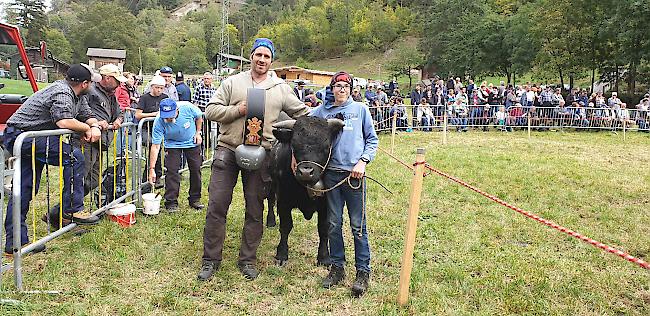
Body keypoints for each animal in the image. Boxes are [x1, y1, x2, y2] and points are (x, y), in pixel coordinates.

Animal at [270, 116, 344, 266]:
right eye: (294, 145)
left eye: (326, 147)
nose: (305, 172)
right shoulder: (283, 202)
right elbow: (285, 227)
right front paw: (282, 254)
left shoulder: (326, 205)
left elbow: (323, 228)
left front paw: (324, 257)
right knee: (270, 202)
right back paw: (270, 221)